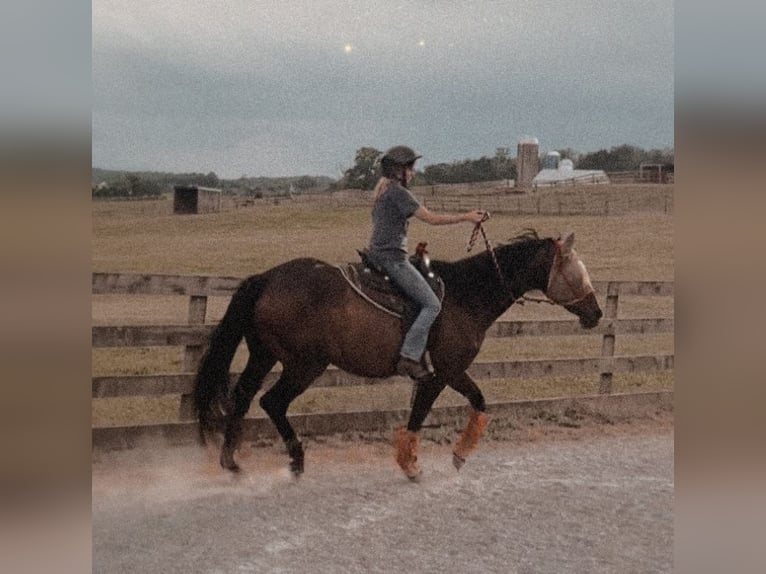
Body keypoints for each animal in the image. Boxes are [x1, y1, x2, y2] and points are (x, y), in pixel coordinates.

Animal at [195, 230, 604, 482]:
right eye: (575, 271)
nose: (596, 313)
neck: (464, 295)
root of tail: (266, 278)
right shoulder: (445, 372)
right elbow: (430, 412)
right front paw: (418, 464)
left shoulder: (445, 373)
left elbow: (468, 404)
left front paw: (449, 456)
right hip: (303, 365)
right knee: (272, 402)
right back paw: (295, 460)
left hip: (263, 356)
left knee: (242, 397)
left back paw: (232, 462)